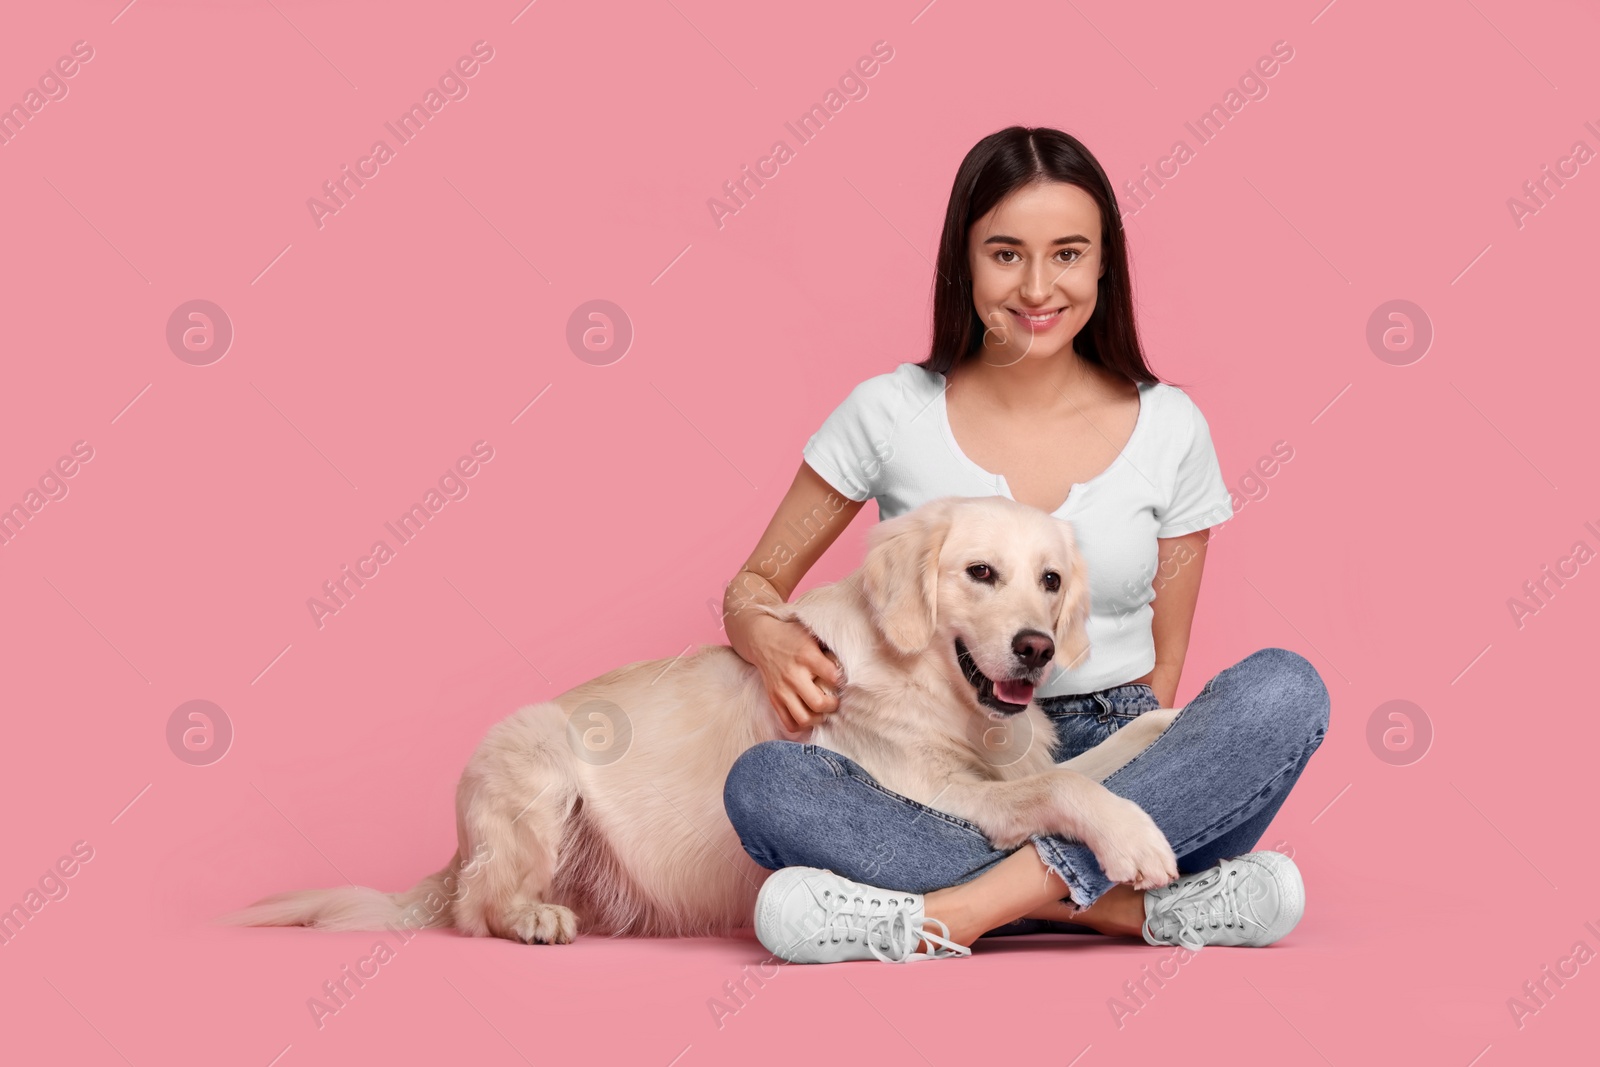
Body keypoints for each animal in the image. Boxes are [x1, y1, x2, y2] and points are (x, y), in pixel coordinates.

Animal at [222, 492, 1177, 940]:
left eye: (1050, 580)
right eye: (979, 572)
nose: (1035, 648)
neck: (939, 691)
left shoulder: (1011, 760)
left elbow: (1100, 758)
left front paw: (1166, 720)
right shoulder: (948, 792)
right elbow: (1064, 790)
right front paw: (1136, 840)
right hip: (534, 767)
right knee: (477, 905)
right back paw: (531, 917)